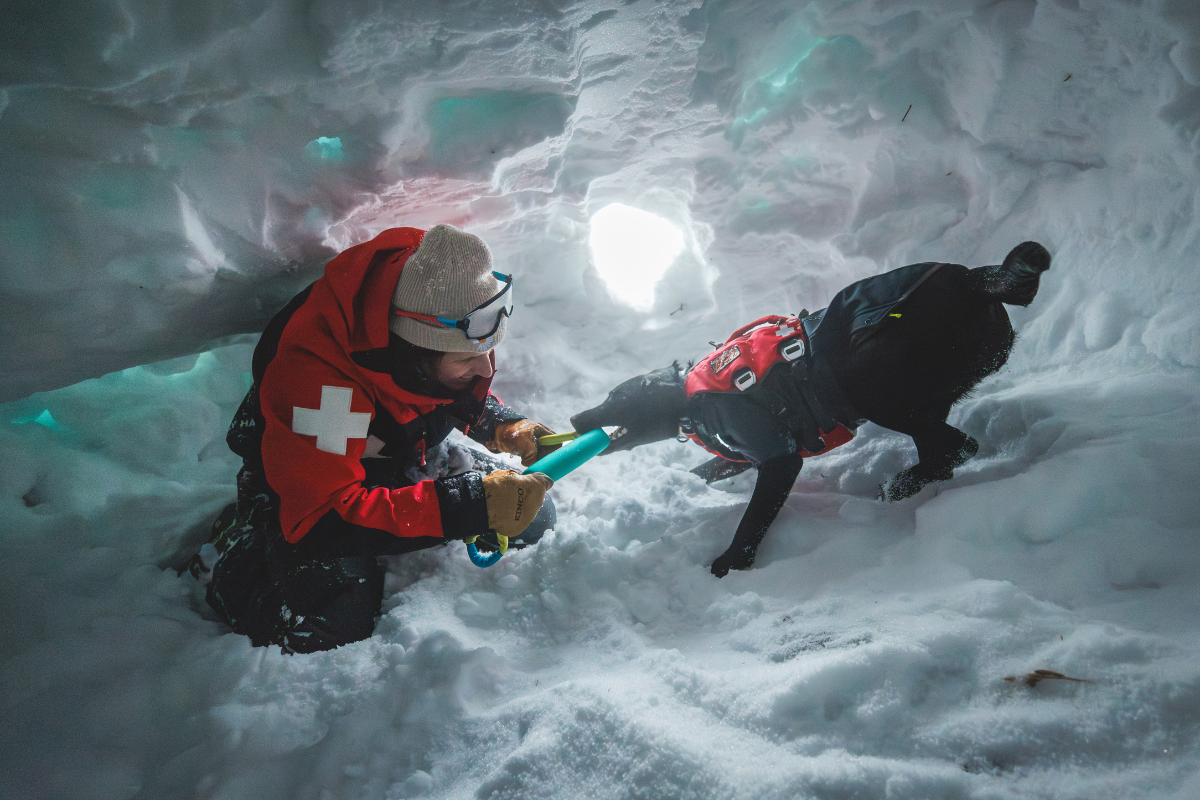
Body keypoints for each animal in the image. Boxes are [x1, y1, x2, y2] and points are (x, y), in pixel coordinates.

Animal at [571, 242, 1051, 575]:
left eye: (614, 400)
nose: (575, 418)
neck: (691, 397)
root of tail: (974, 281)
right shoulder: (747, 455)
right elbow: (712, 469)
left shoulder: (779, 460)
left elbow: (752, 521)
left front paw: (731, 562)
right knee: (945, 450)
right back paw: (909, 483)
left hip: (870, 384)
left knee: (960, 446)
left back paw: (900, 484)